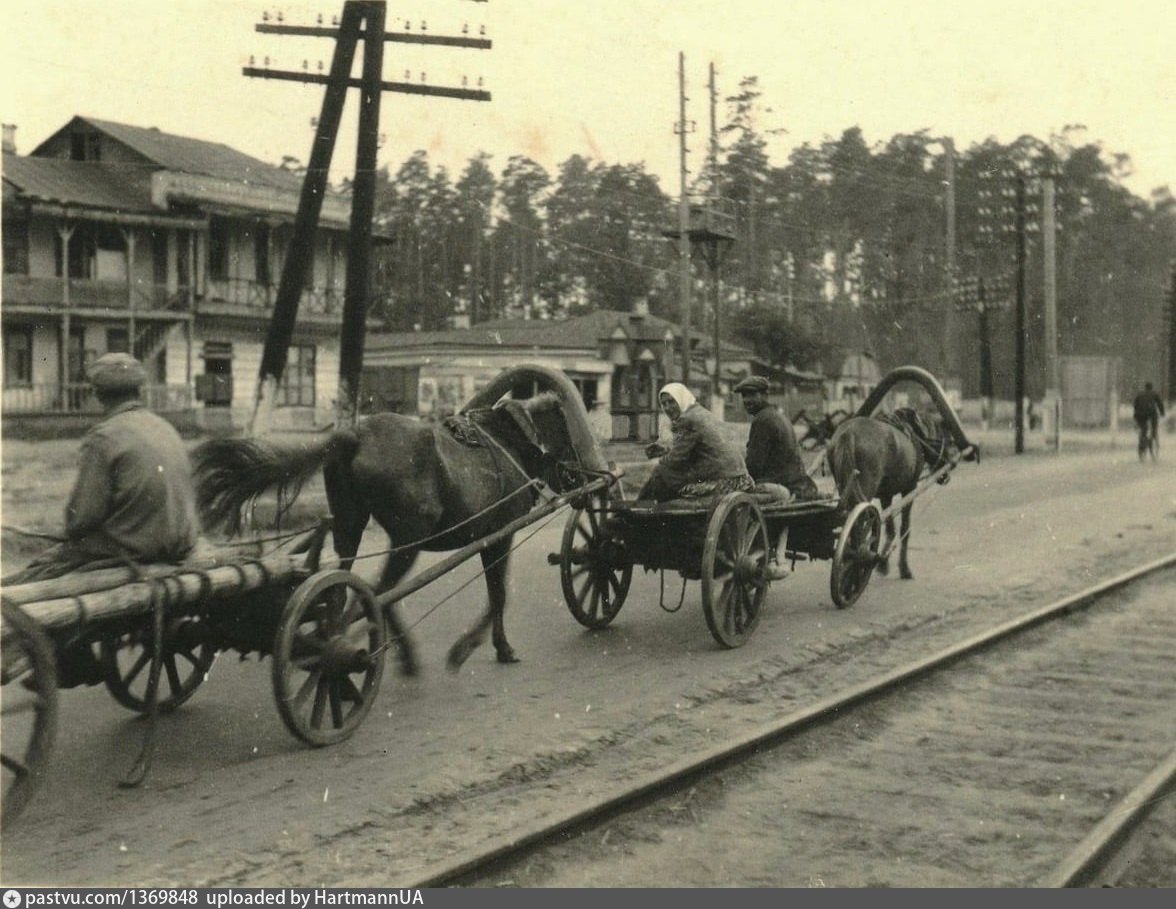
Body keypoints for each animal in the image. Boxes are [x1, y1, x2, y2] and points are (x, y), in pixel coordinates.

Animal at [194, 364, 606, 667]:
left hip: (350, 526)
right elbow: (499, 594)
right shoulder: (500, 535)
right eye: (569, 430)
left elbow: (496, 593)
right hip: (408, 540)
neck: (510, 439)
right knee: (378, 593)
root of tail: (354, 436)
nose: (590, 478)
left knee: (348, 589)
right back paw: (387, 655)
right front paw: (483, 648)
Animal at [823, 406, 959, 578]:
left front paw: (883, 563)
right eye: (941, 436)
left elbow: (889, 529)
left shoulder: (885, 495)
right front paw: (903, 568)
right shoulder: (909, 489)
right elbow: (904, 529)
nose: (951, 463)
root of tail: (848, 434)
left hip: (844, 488)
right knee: (859, 524)